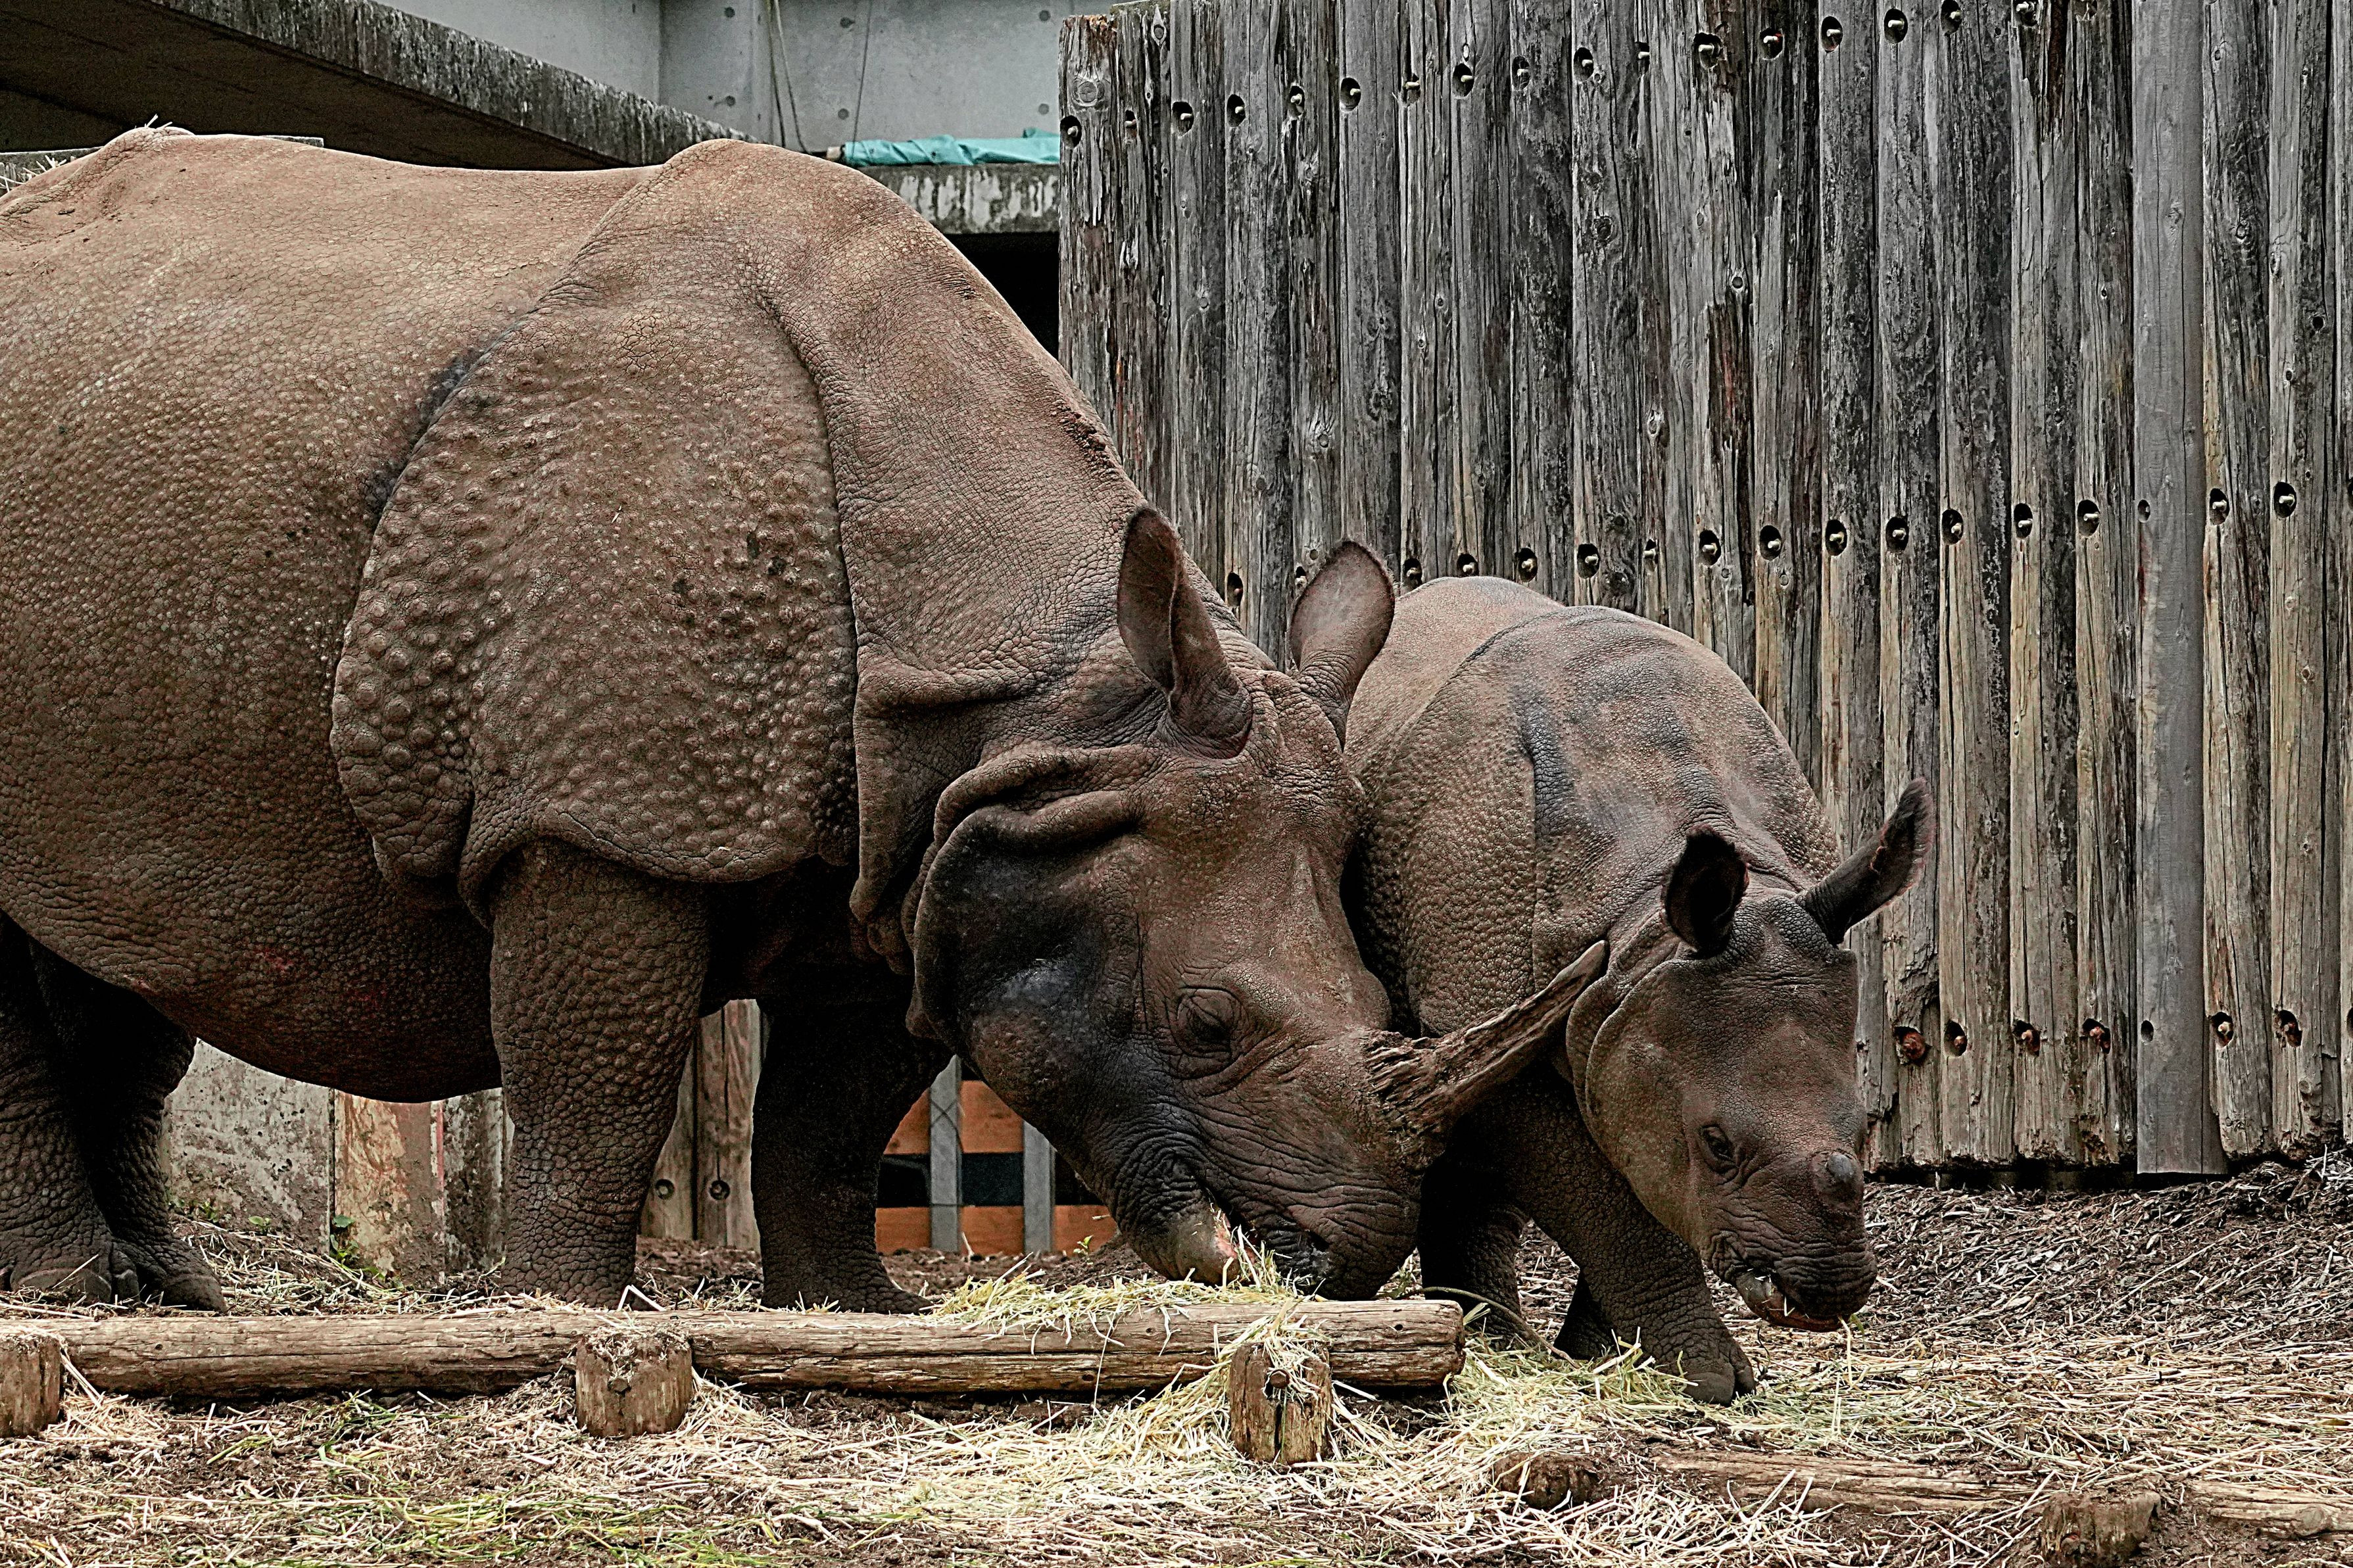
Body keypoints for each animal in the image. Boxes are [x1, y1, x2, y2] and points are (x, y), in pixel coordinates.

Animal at [0, 130, 1595, 1311]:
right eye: (1205, 1022)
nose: (1350, 1250)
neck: (1047, 684)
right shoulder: (598, 810)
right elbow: (599, 1069)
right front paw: (564, 1313)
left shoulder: (920, 834)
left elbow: (836, 1108)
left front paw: (854, 1308)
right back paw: (79, 1296)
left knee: (115, 943)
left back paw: (173, 1295)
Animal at [1346, 578, 1931, 1402]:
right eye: (1717, 1145)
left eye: (1863, 1129)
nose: (1823, 1293)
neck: (1637, 913)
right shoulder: (1495, 1003)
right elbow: (1613, 1204)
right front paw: (1704, 1378)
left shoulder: (1625, 1009)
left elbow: (1641, 1165)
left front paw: (1607, 1356)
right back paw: (1489, 1343)